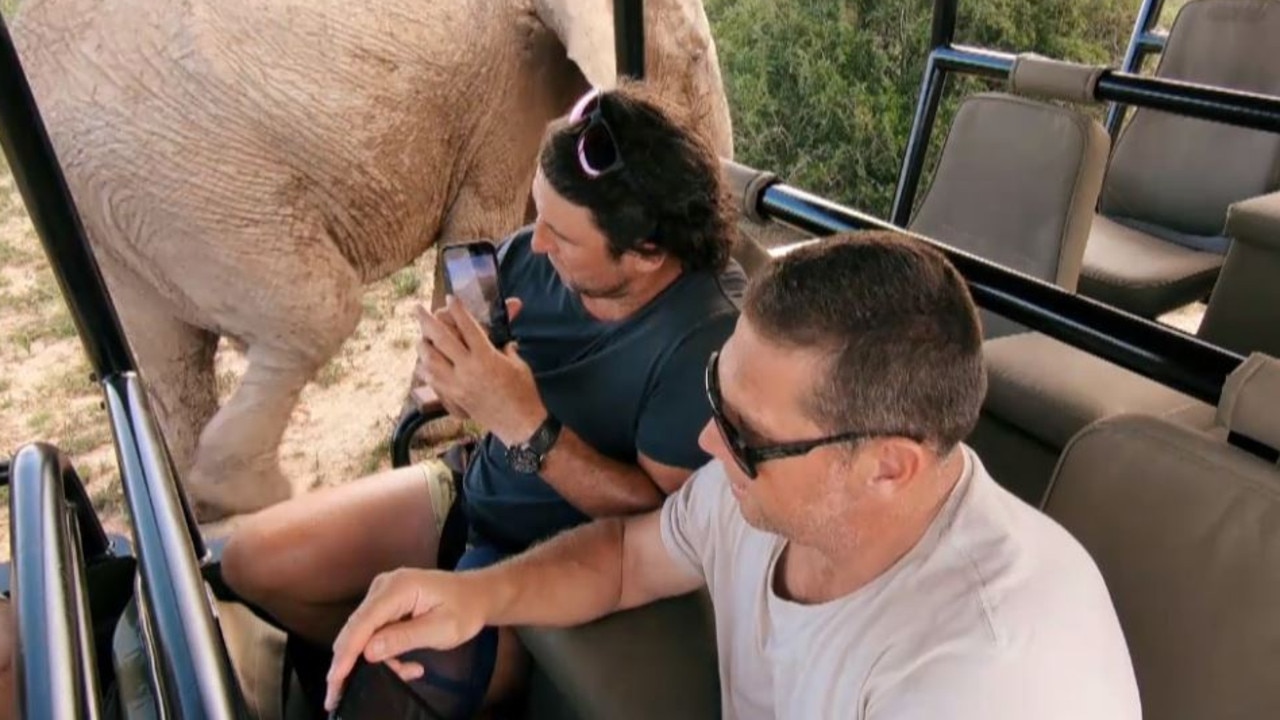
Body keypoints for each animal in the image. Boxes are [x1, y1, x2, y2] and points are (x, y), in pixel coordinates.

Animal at [10, 0, 737, 515]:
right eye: (696, 53)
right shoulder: (508, 87)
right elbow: (486, 222)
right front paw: (444, 423)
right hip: (192, 186)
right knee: (316, 311)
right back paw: (249, 496)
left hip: (120, 216)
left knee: (169, 361)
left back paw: (211, 513)